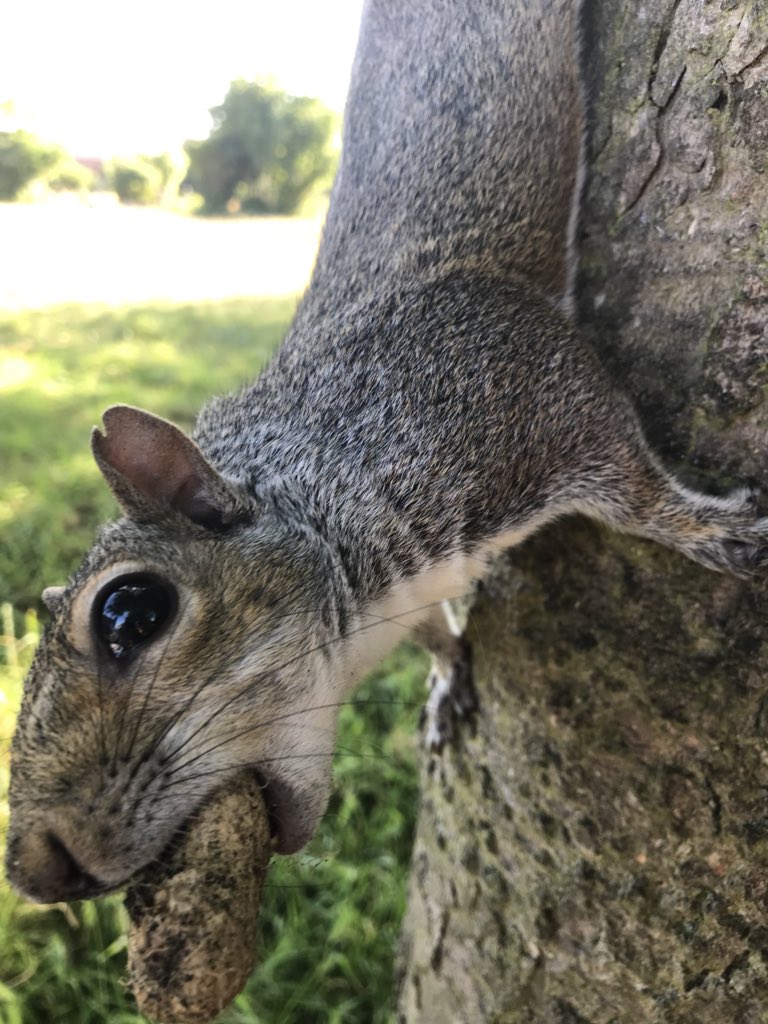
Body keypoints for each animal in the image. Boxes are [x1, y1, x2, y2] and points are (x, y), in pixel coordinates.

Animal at [6, 0, 768, 905]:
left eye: (130, 612)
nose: (38, 872)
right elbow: (437, 630)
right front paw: (446, 673)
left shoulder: (525, 385)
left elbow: (631, 487)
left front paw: (708, 530)